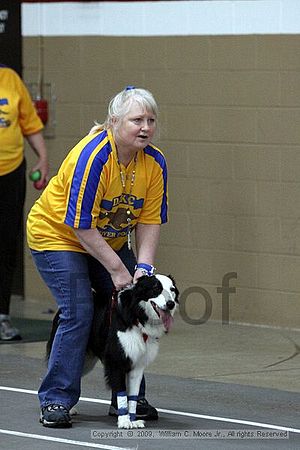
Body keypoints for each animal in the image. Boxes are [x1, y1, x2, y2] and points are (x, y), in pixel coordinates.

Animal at [46, 274, 178, 428]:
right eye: (156, 288)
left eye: (172, 289)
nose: (171, 304)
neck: (137, 316)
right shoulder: (116, 363)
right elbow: (121, 394)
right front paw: (124, 421)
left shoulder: (137, 366)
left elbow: (132, 397)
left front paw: (132, 419)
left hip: (87, 361)